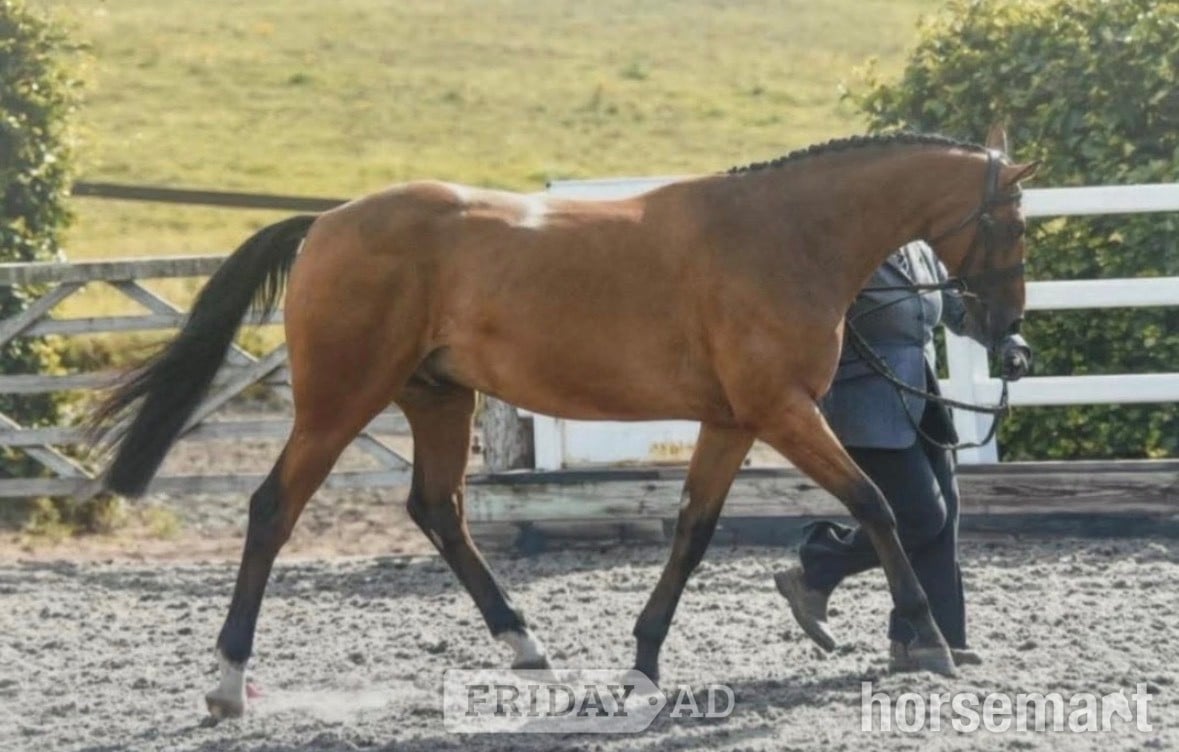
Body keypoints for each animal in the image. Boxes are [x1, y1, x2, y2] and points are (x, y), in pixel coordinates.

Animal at [90, 127, 1037, 718]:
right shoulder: (782, 411)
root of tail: (326, 222)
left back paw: (525, 648)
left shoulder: (733, 420)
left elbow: (691, 532)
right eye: (1013, 223)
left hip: (438, 398)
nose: (1005, 333)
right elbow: (877, 502)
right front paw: (928, 641)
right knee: (271, 510)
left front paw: (643, 662)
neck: (785, 235)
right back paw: (226, 684)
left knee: (437, 511)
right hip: (339, 401)